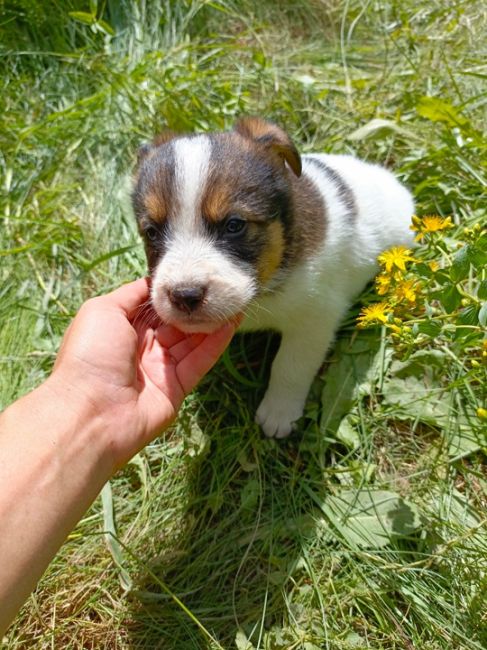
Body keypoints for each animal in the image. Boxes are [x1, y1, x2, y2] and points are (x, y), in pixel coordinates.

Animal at [132, 119, 414, 438]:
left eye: (234, 225)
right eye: (152, 232)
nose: (184, 295)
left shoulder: (315, 319)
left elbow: (290, 366)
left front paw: (279, 413)